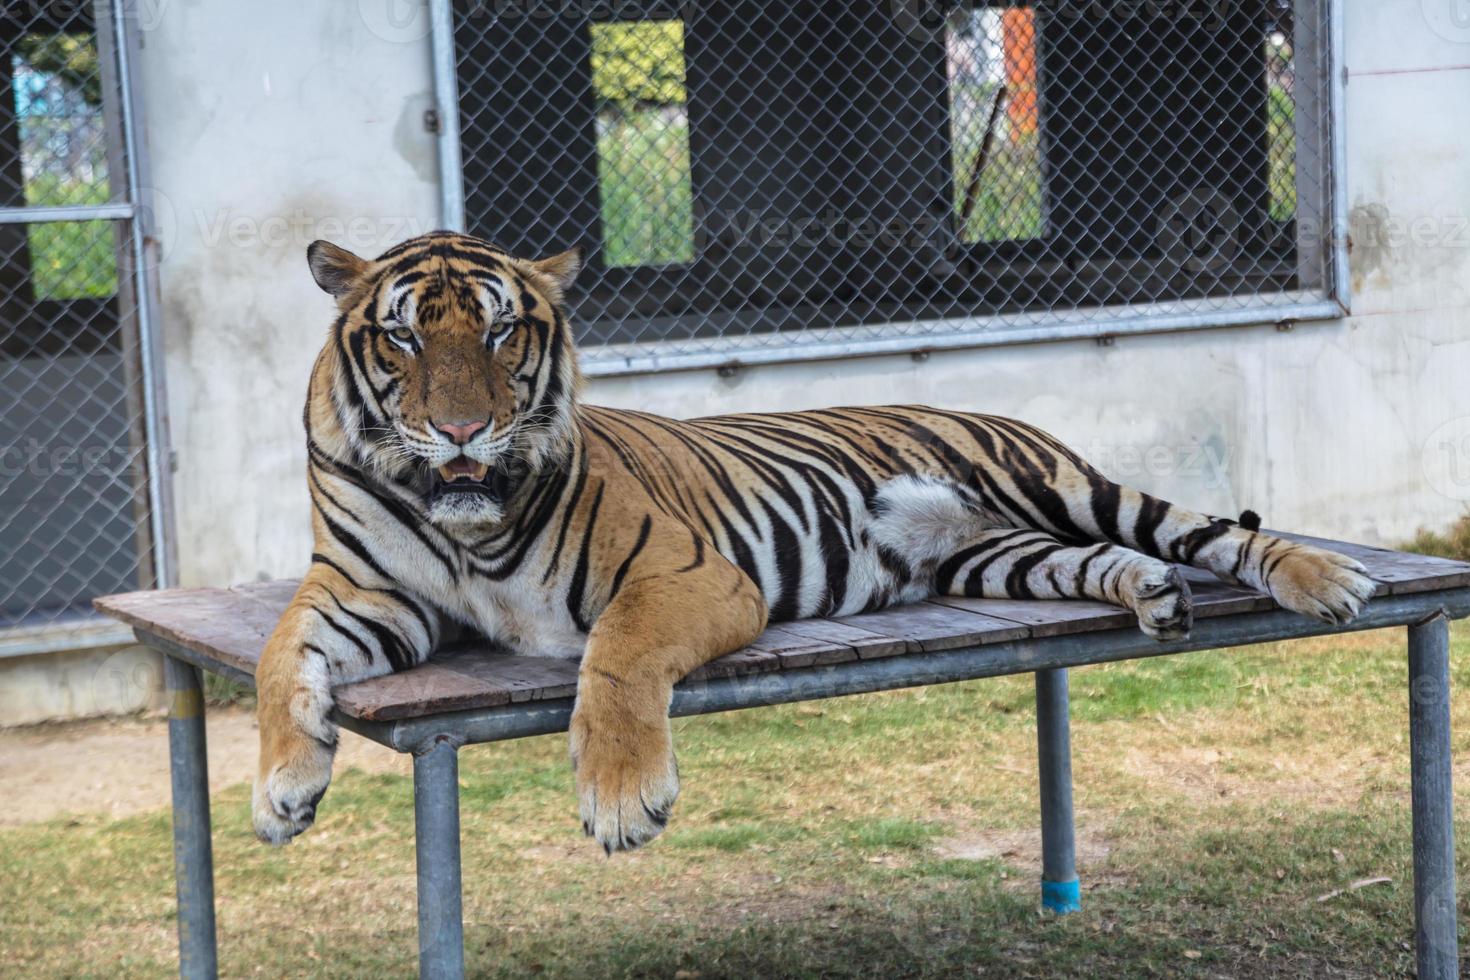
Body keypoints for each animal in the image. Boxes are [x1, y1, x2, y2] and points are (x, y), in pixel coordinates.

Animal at [255, 230, 1375, 852]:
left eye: (500, 332)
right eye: (403, 336)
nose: (459, 431)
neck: (466, 527)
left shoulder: (683, 575)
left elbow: (614, 661)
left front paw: (621, 801)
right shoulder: (362, 595)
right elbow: (278, 661)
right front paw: (280, 792)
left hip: (1061, 483)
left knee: (1200, 529)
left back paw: (1326, 578)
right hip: (1001, 552)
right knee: (1112, 559)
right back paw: (1153, 595)